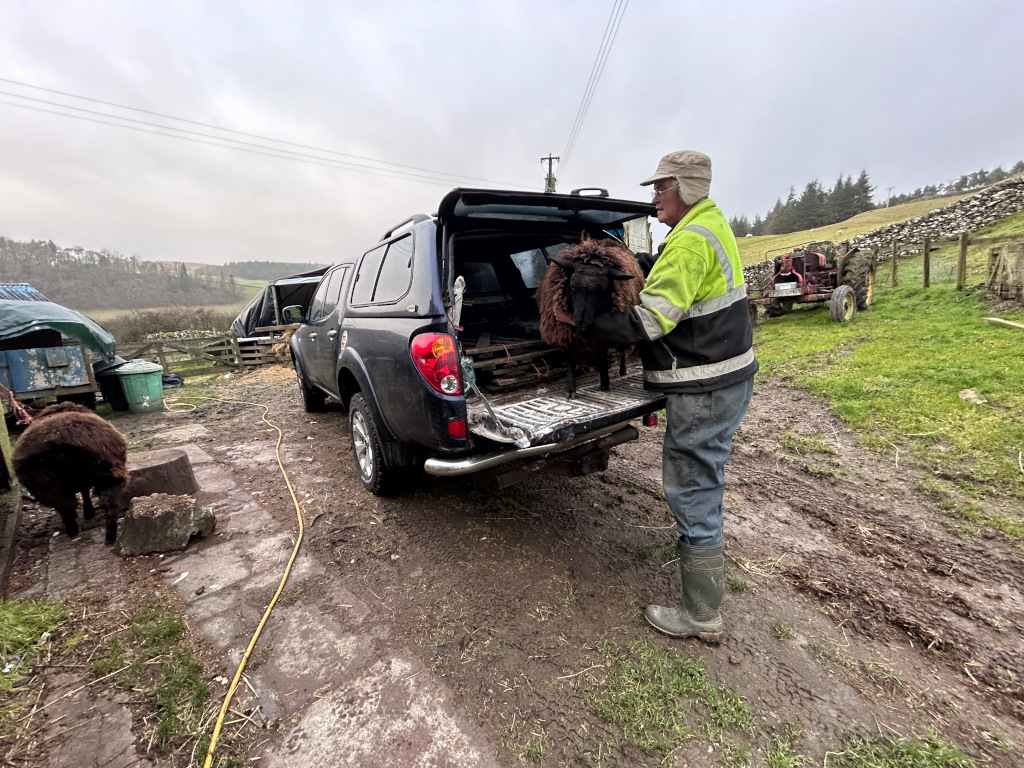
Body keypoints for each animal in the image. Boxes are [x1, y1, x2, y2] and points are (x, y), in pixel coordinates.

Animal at [12, 402, 130, 544]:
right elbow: (85, 493)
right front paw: (88, 512)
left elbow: (84, 493)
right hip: (108, 476)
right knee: (108, 506)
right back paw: (110, 536)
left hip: (48, 486)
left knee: (66, 507)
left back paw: (73, 530)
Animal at [535, 235, 645, 397]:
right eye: (572, 287)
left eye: (602, 290)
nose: (581, 322)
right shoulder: (566, 332)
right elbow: (569, 357)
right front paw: (571, 390)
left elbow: (603, 356)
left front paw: (605, 382)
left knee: (622, 352)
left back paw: (622, 370)